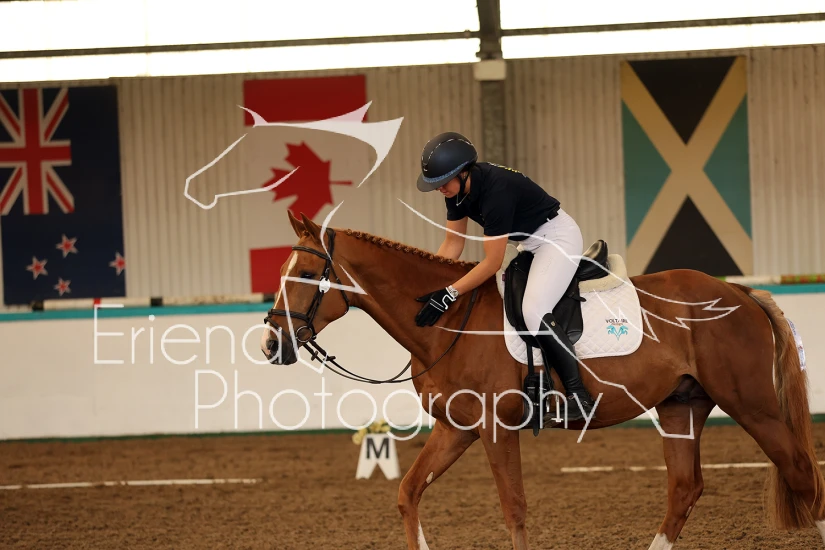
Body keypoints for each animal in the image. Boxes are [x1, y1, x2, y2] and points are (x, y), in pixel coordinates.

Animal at [260, 210, 825, 550]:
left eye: (306, 276)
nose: (271, 344)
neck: (448, 321)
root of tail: (739, 292)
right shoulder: (457, 430)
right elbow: (408, 492)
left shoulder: (495, 430)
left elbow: (514, 508)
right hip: (681, 405)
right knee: (685, 489)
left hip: (751, 404)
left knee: (800, 469)